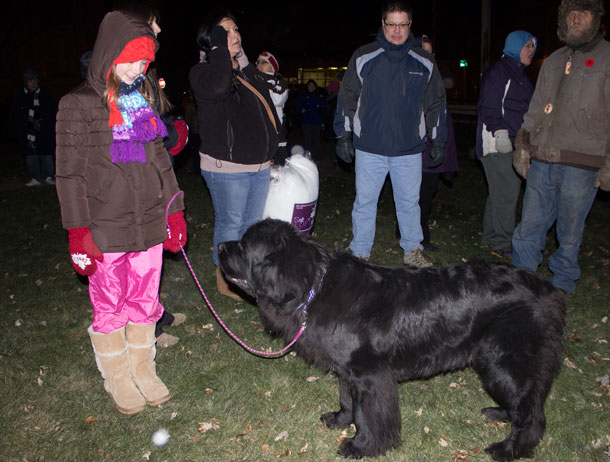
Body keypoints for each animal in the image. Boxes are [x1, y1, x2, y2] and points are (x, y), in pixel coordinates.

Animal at [217, 218, 564, 460]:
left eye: (244, 247)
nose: (220, 246)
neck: (314, 286)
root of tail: (547, 290)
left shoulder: (370, 375)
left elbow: (368, 415)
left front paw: (361, 446)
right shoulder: (349, 370)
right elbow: (348, 401)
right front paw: (340, 420)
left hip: (503, 362)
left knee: (532, 414)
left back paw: (508, 449)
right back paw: (500, 414)